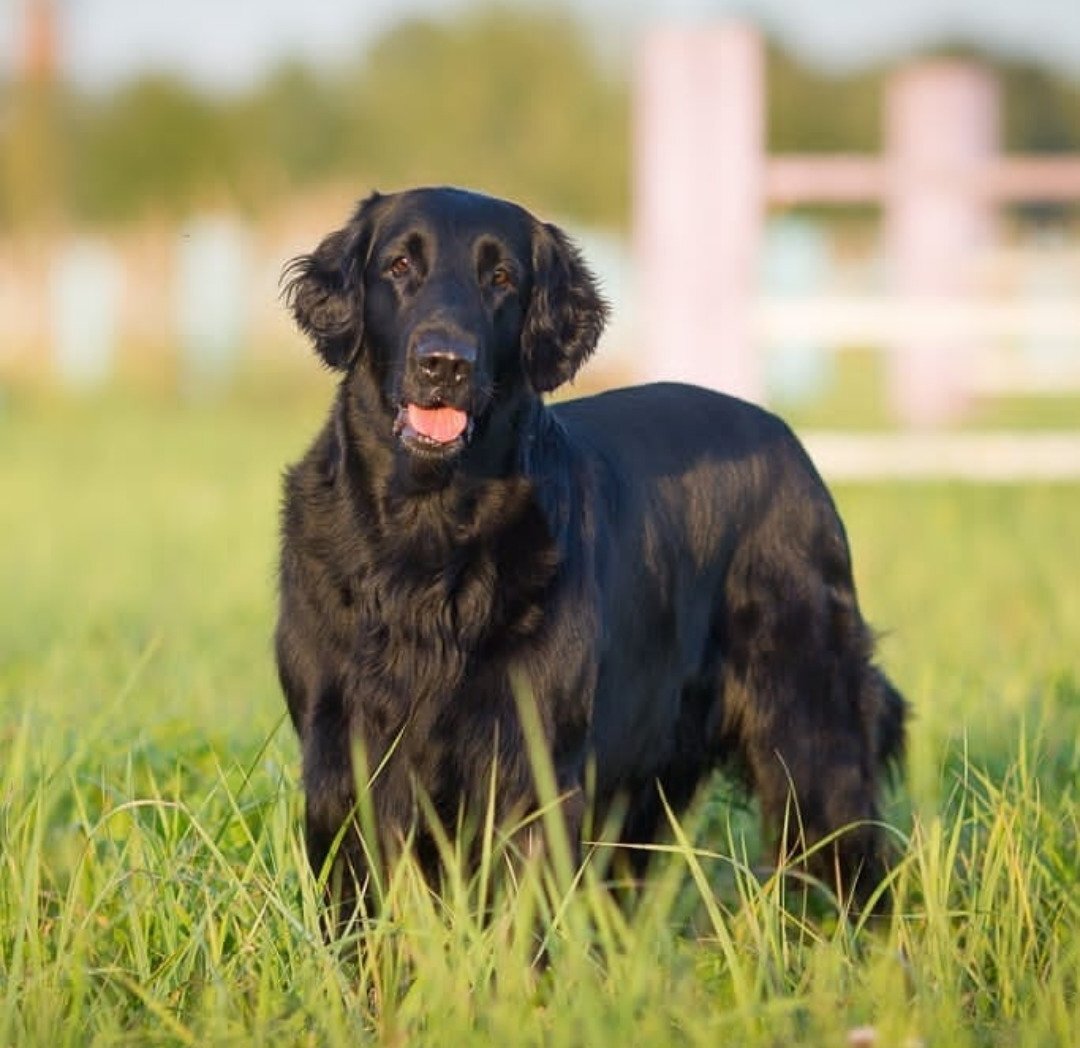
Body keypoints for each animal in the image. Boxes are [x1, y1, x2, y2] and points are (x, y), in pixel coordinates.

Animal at [276, 187, 902, 916]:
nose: (445, 363)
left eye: (502, 277)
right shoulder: (340, 755)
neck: (427, 533)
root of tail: (792, 444)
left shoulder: (531, 762)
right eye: (400, 264)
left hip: (810, 730)